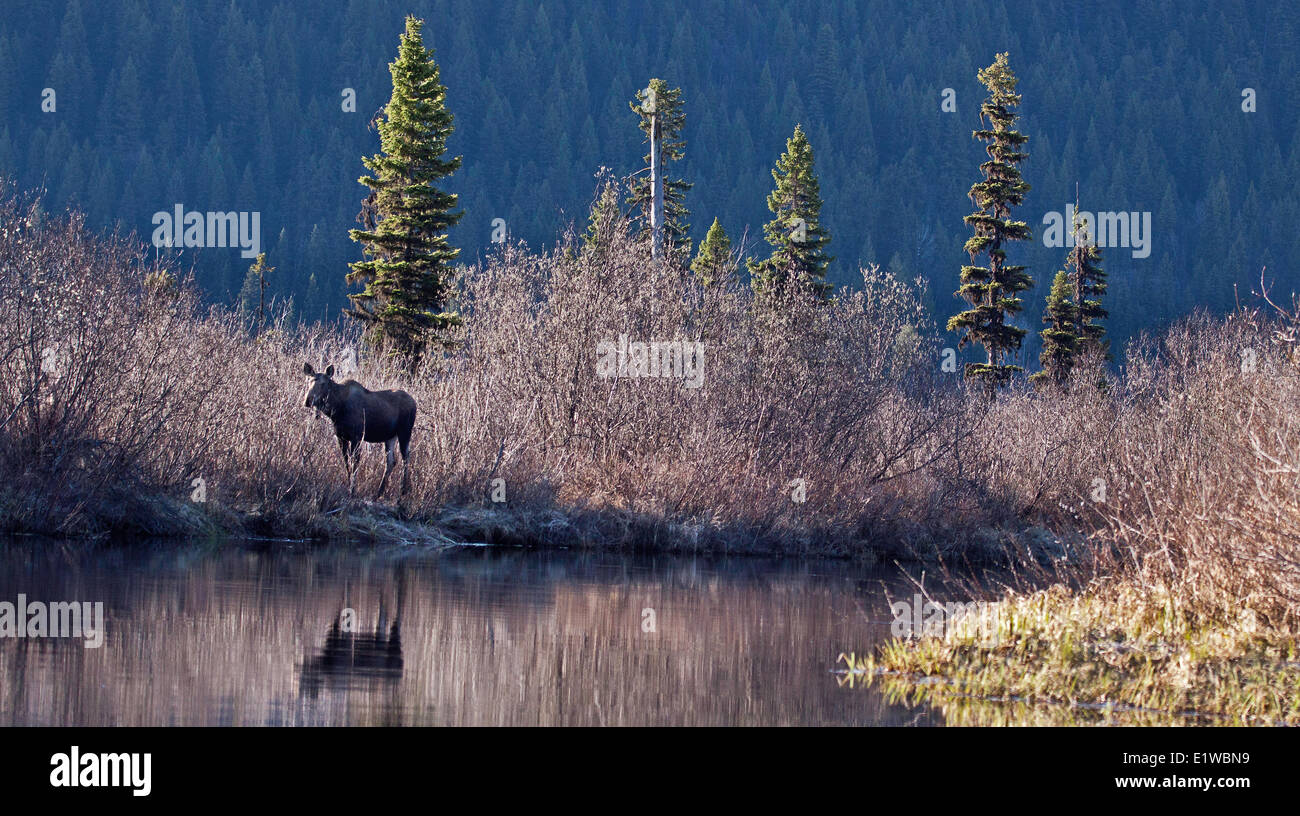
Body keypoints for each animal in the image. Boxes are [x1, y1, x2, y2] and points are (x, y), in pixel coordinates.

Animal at [300, 361, 413, 496]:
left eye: (323, 384)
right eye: (308, 381)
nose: (308, 400)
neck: (336, 409)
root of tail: (414, 402)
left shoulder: (357, 437)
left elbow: (354, 463)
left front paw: (352, 490)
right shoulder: (341, 437)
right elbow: (346, 463)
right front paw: (350, 487)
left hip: (405, 433)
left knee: (406, 458)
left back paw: (402, 491)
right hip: (390, 437)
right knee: (391, 462)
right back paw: (379, 493)